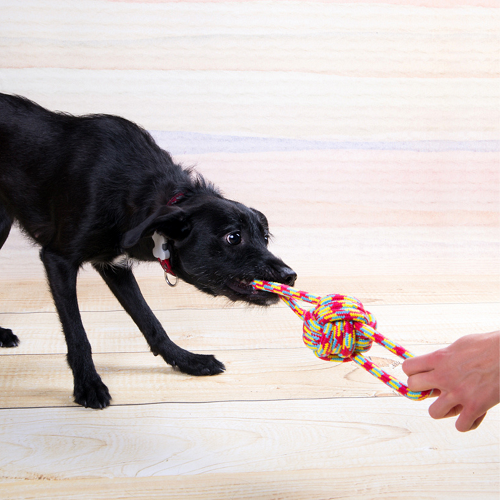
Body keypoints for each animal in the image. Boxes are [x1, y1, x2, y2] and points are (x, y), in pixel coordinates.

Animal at [0, 94, 296, 410]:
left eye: (264, 237)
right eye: (234, 237)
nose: (290, 276)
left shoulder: (113, 266)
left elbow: (149, 319)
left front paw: (185, 360)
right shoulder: (58, 260)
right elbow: (77, 333)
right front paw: (88, 384)